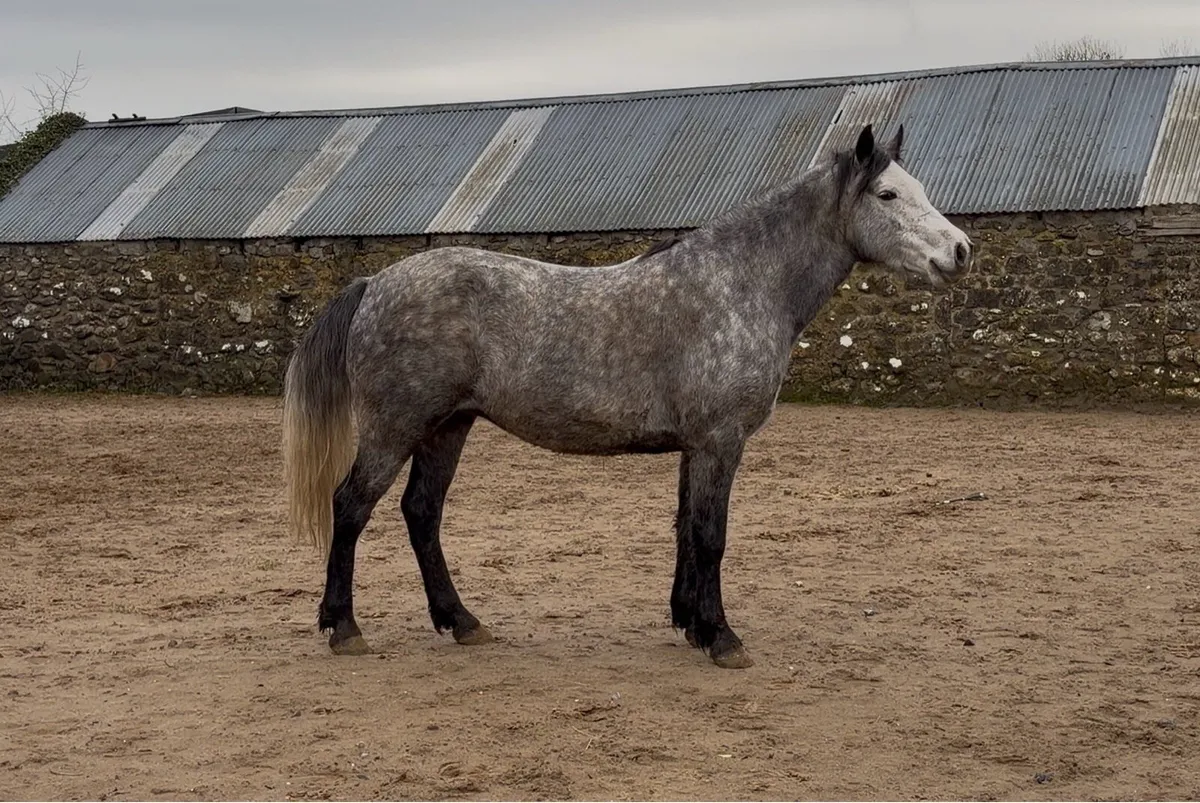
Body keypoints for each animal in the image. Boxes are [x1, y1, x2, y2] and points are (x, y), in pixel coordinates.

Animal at [282, 123, 973, 669]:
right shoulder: (720, 441)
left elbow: (686, 530)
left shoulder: (697, 446)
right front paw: (723, 639)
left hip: (448, 426)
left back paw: (463, 622)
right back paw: (345, 628)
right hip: (396, 427)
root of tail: (375, 284)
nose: (960, 251)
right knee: (350, 506)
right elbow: (711, 535)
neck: (740, 285)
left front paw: (692, 625)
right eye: (887, 195)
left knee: (421, 513)